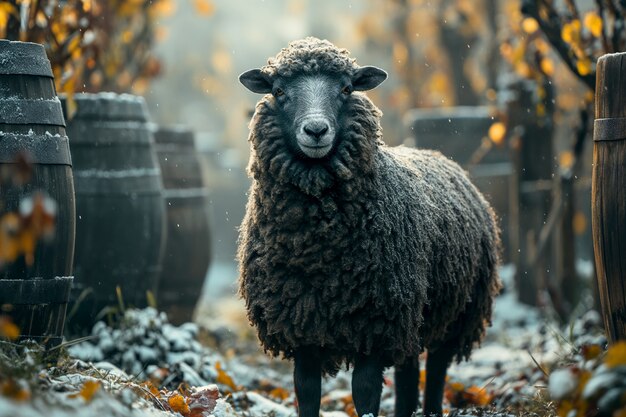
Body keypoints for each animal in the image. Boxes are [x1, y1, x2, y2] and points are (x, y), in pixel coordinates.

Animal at [236, 36, 500, 416]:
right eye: (279, 90)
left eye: (346, 89)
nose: (316, 130)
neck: (317, 249)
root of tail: (442, 157)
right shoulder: (302, 325)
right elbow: (306, 392)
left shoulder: (376, 324)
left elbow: (364, 392)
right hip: (413, 316)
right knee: (408, 374)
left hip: (456, 313)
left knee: (436, 371)